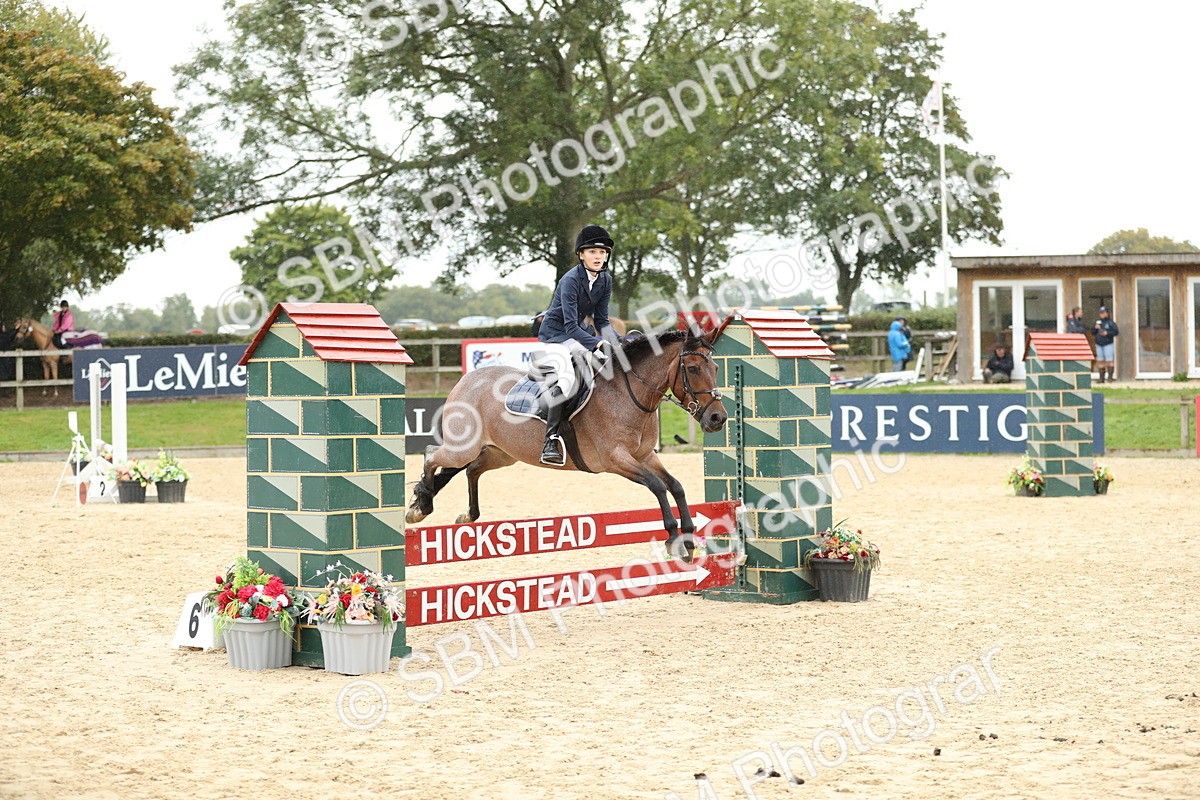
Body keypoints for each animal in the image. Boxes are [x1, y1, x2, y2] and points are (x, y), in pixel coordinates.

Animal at [407, 326, 729, 558]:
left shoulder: (646, 455)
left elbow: (675, 485)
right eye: (693, 369)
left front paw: (689, 538)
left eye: (715, 368)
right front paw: (674, 539)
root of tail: (467, 380)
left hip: (502, 453)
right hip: (464, 448)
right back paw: (421, 506)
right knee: (432, 455)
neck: (631, 394)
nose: (717, 418)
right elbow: (657, 486)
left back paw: (466, 515)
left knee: (472, 470)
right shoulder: (616, 459)